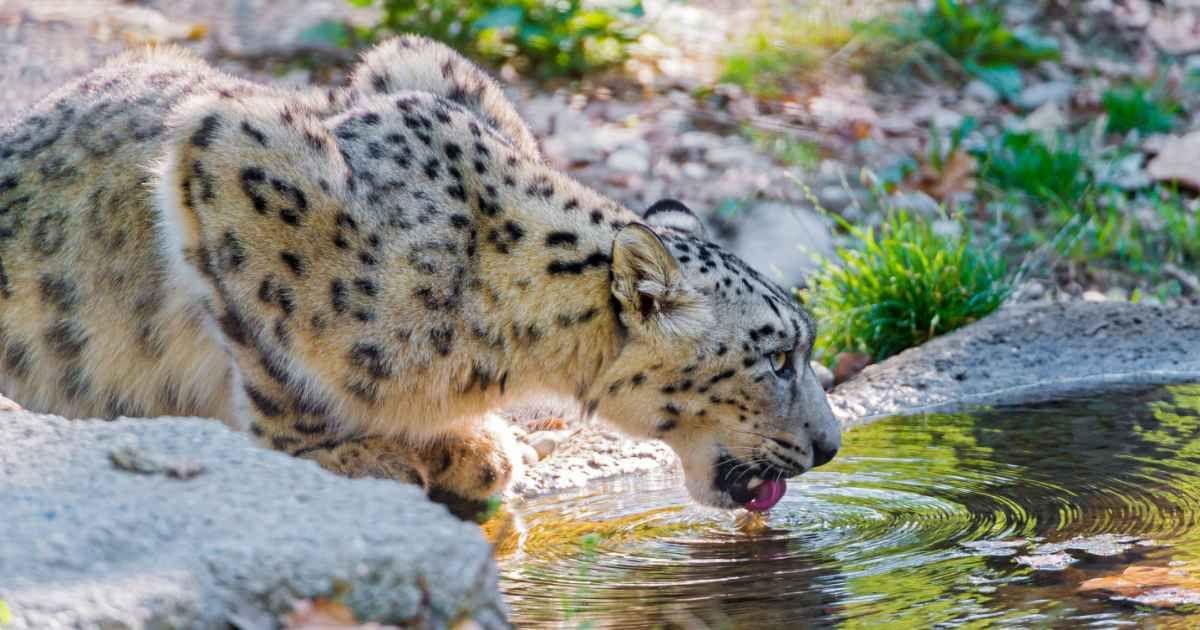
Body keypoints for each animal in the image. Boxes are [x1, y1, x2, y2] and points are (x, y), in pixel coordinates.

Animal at [0, 35, 840, 514]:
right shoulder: (230, 150)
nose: (832, 445)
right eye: (776, 358)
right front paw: (350, 454)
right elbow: (273, 364)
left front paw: (470, 445)